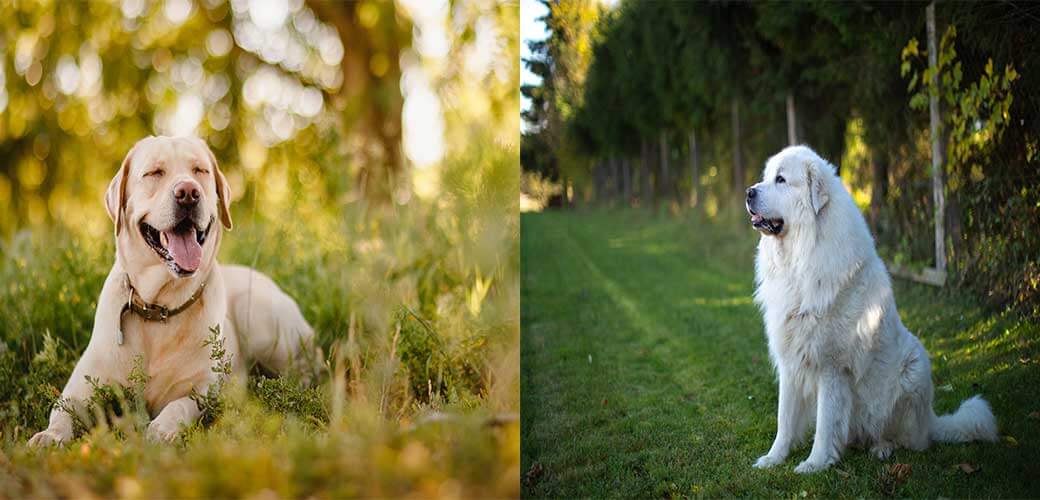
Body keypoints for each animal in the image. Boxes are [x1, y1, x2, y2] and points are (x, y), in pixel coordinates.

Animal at [29, 133, 320, 444]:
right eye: (154, 173)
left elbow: (179, 405)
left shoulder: (202, 390)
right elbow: (63, 409)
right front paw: (49, 436)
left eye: (200, 171)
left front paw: (161, 429)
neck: (159, 307)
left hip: (260, 319)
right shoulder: (81, 386)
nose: (188, 193)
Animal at [744, 144, 994, 471]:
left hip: (914, 368)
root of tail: (931, 420)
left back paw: (883, 448)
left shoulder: (832, 368)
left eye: (781, 180)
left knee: (910, 441)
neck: (803, 255)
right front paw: (774, 458)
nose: (748, 192)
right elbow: (784, 418)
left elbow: (825, 422)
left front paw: (815, 464)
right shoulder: (791, 360)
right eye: (766, 177)